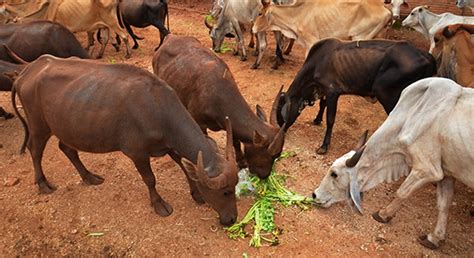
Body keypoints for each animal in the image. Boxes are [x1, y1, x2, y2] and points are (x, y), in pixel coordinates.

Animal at [10, 55, 241, 226]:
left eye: (235, 187)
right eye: (225, 191)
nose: (231, 219)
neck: (157, 109)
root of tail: (27, 71)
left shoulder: (171, 145)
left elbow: (185, 167)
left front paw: (196, 194)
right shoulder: (137, 154)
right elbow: (150, 179)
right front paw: (159, 204)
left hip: (67, 128)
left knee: (67, 148)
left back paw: (89, 176)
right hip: (39, 125)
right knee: (35, 150)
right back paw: (43, 183)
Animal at [153, 34, 286, 179]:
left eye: (277, 156)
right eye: (270, 155)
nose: (264, 175)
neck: (218, 96)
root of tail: (169, 37)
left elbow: (235, 141)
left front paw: (241, 161)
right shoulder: (200, 123)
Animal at [250, 0, 390, 68]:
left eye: (260, 13)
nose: (253, 29)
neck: (297, 13)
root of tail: (386, 9)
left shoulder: (311, 42)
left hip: (360, 37)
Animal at [276, 37, 436, 154]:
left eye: (282, 114)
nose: (280, 130)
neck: (318, 62)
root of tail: (426, 56)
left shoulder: (333, 92)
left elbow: (330, 119)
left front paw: (324, 146)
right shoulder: (324, 91)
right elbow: (322, 105)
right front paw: (317, 120)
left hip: (387, 94)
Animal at [312, 77, 472, 250]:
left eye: (334, 174)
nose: (315, 194)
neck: (413, 114)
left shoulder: (427, 169)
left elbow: (402, 192)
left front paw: (383, 214)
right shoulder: (447, 173)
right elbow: (444, 204)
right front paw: (434, 238)